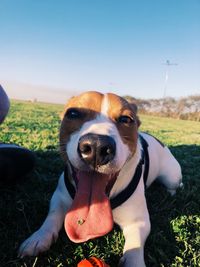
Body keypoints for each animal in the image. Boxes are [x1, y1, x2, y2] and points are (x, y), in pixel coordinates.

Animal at [18, 92, 183, 267]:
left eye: (126, 119)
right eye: (73, 113)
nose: (97, 146)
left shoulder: (138, 221)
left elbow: (135, 247)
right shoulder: (59, 198)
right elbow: (52, 217)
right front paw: (39, 238)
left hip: (171, 176)